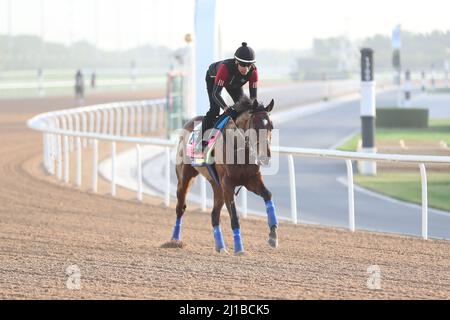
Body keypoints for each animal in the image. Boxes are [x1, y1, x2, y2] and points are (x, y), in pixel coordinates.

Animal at [168, 97, 278, 255]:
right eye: (255, 126)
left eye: (271, 126)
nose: (265, 157)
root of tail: (188, 122)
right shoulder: (228, 185)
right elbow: (234, 216)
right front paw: (239, 248)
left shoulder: (252, 180)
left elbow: (268, 195)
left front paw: (273, 235)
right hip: (185, 178)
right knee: (180, 208)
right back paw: (175, 241)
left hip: (217, 186)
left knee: (214, 215)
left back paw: (220, 246)